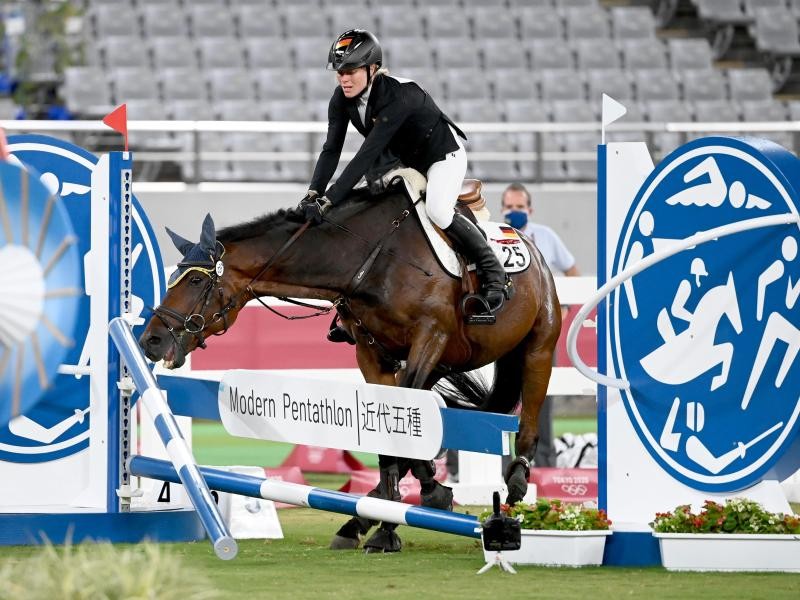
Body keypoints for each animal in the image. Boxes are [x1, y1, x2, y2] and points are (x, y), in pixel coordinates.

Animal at [139, 182, 564, 552]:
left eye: (195, 282)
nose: (150, 341)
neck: (370, 262)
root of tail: (527, 243)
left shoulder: (430, 337)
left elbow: (403, 430)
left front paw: (417, 503)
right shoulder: (372, 354)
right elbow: (390, 433)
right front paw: (387, 518)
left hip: (537, 346)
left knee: (528, 423)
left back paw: (516, 486)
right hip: (443, 363)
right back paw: (368, 513)